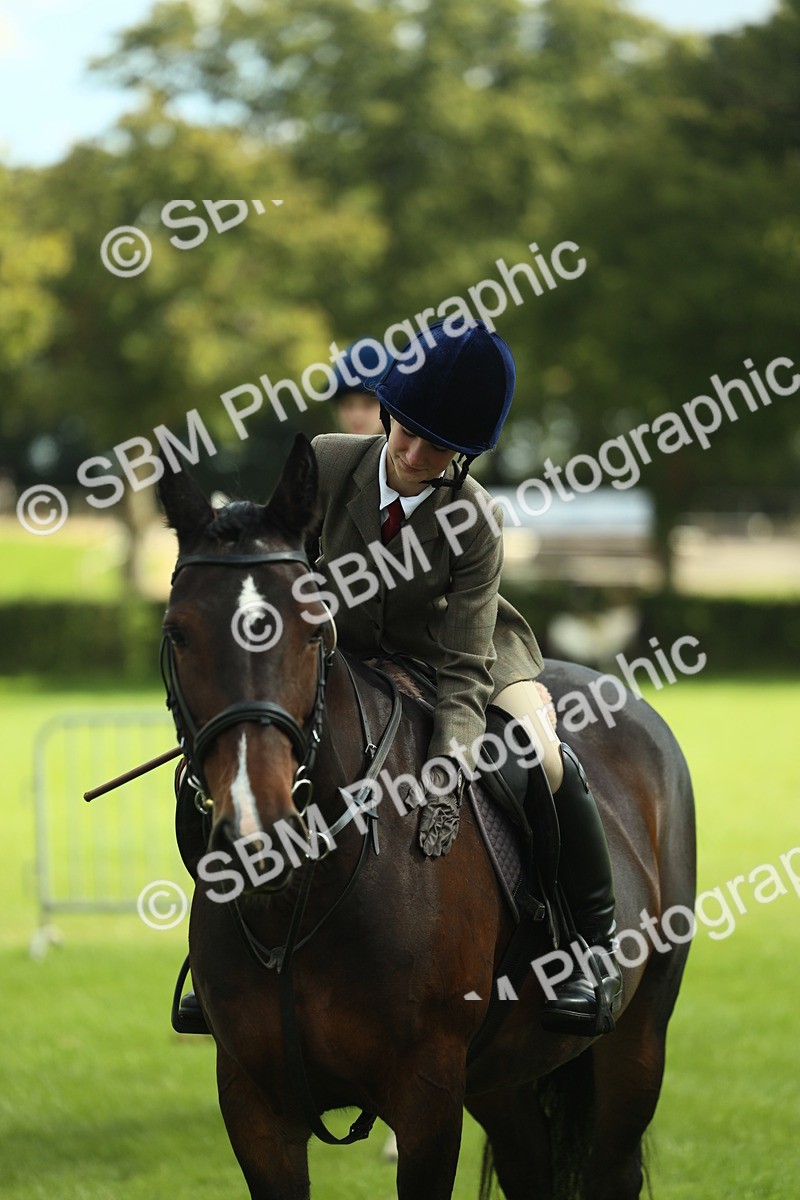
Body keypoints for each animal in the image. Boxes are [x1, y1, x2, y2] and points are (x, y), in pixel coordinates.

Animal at [157, 433, 696, 1200]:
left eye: (312, 630)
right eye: (178, 633)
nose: (258, 833)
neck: (303, 897)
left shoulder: (427, 1098)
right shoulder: (254, 1103)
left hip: (635, 1043)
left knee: (611, 1163)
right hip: (503, 1079)